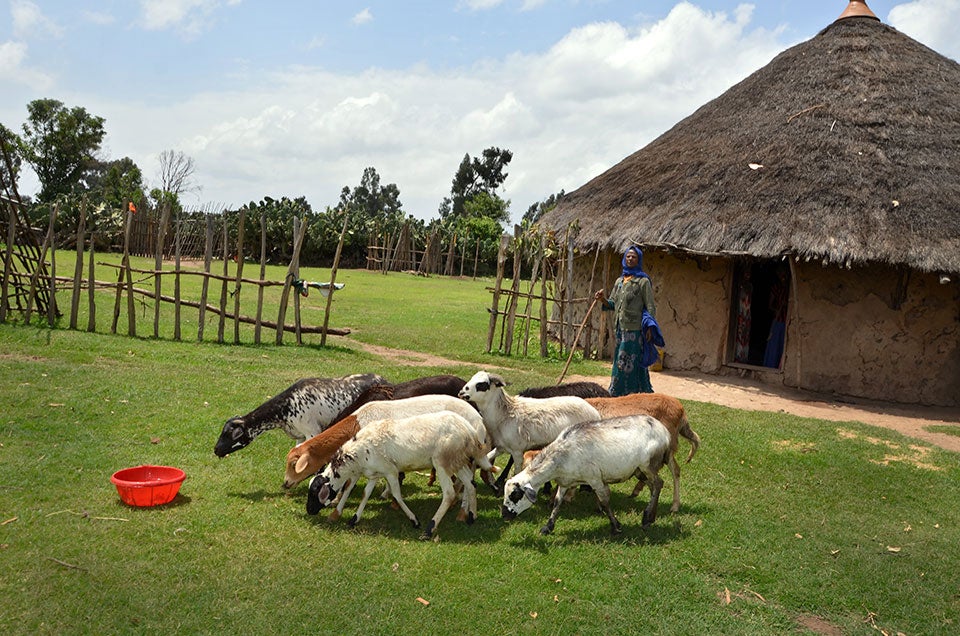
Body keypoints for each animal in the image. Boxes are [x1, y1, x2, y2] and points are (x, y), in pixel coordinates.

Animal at [214, 372, 386, 458]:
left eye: (231, 434)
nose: (216, 450)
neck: (286, 407)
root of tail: (383, 378)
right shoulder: (300, 435)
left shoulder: (313, 432)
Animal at [316, 410, 496, 540]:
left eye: (315, 492)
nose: (311, 512)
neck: (357, 453)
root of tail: (469, 431)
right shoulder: (376, 473)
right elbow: (366, 494)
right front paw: (354, 519)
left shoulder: (391, 471)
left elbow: (396, 494)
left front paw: (414, 520)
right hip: (456, 460)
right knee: (471, 484)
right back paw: (472, 517)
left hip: (442, 462)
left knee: (450, 494)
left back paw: (429, 530)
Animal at [458, 368, 600, 492]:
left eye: (482, 384)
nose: (461, 392)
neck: (504, 413)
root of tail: (594, 411)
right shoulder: (501, 447)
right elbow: (486, 459)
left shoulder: (517, 451)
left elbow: (516, 471)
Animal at [498, 414, 672, 536]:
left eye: (515, 495)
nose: (504, 515)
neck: (559, 458)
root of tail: (664, 431)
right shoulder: (566, 482)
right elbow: (557, 502)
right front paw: (548, 527)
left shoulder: (595, 479)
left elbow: (605, 501)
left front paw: (615, 526)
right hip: (638, 470)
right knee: (653, 487)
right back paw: (651, 516)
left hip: (648, 464)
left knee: (658, 484)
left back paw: (646, 519)